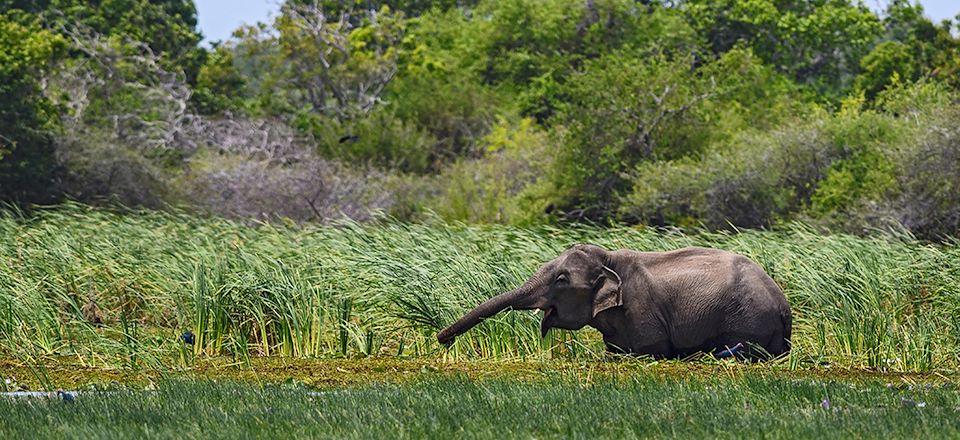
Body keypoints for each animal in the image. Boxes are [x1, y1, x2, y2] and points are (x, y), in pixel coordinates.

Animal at [438, 242, 792, 360]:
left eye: (561, 280)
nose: (442, 340)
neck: (610, 259)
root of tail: (784, 305)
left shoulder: (642, 309)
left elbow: (652, 350)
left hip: (746, 321)